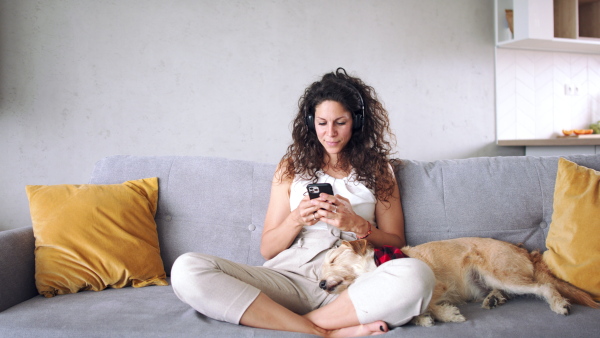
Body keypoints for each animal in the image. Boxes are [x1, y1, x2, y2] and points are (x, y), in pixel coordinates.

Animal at [318, 238, 596, 328]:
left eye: (332, 259)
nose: (320, 283)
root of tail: (526, 251)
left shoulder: (439, 287)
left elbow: (430, 303)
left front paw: (446, 315)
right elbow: (419, 310)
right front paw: (423, 318)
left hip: (498, 272)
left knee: (542, 287)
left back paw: (558, 304)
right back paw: (494, 298)